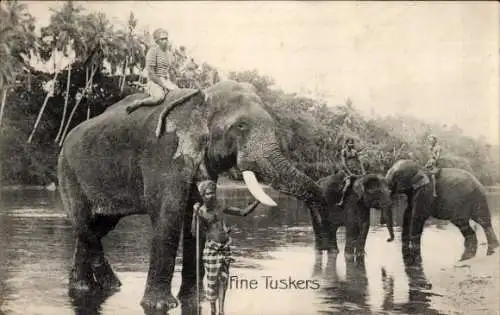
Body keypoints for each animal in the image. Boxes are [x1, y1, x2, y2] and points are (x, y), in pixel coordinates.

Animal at [56, 80, 330, 312]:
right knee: (84, 223)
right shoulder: (164, 151)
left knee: (98, 226)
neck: (202, 98)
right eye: (241, 126)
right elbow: (168, 215)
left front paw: (193, 300)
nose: (322, 251)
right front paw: (161, 305)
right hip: (68, 172)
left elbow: (194, 218)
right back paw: (110, 285)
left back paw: (84, 288)